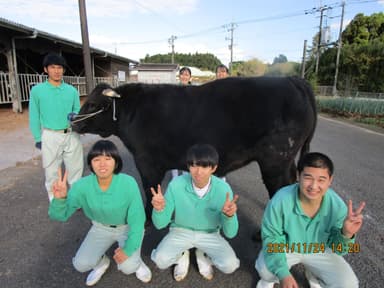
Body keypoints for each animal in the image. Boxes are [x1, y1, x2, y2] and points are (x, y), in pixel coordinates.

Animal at [71, 77, 316, 218]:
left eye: (92, 104)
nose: (73, 121)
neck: (132, 111)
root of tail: (293, 80)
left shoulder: (146, 162)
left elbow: (150, 190)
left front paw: (149, 218)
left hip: (275, 160)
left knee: (281, 188)